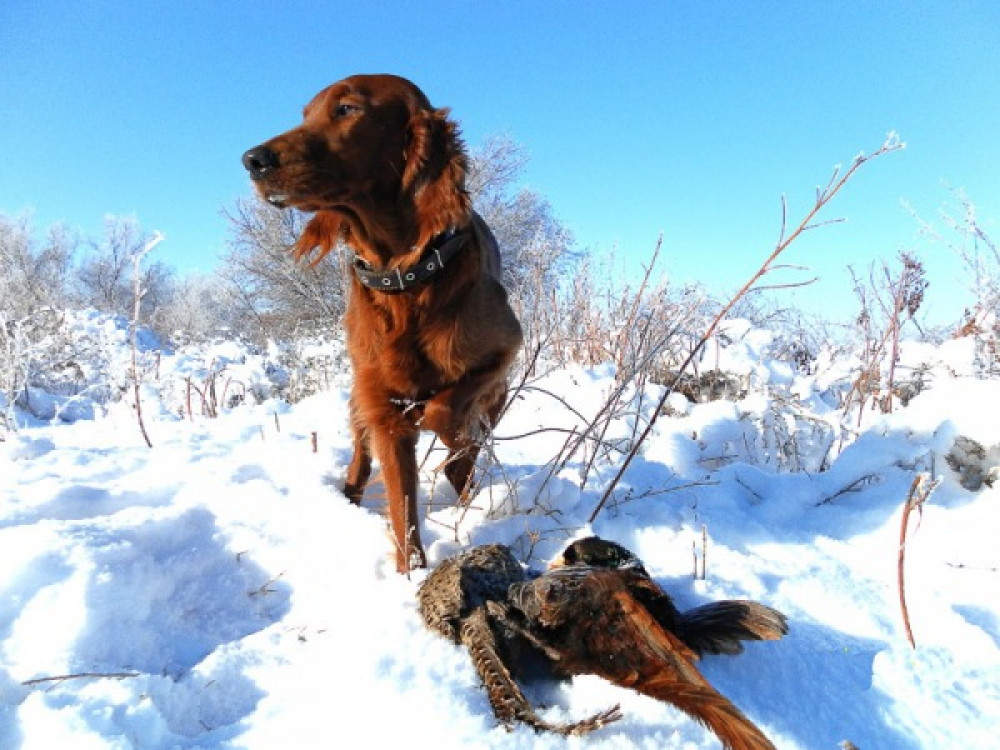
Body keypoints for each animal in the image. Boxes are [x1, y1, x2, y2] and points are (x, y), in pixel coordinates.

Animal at [243, 73, 524, 572]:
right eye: (306, 115)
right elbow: (401, 508)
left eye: (347, 109)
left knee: (466, 448)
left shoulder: (505, 348)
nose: (252, 160)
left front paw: (448, 431)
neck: (403, 275)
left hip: (497, 398)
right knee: (361, 457)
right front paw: (409, 574)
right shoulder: (382, 408)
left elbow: (446, 410)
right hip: (360, 396)